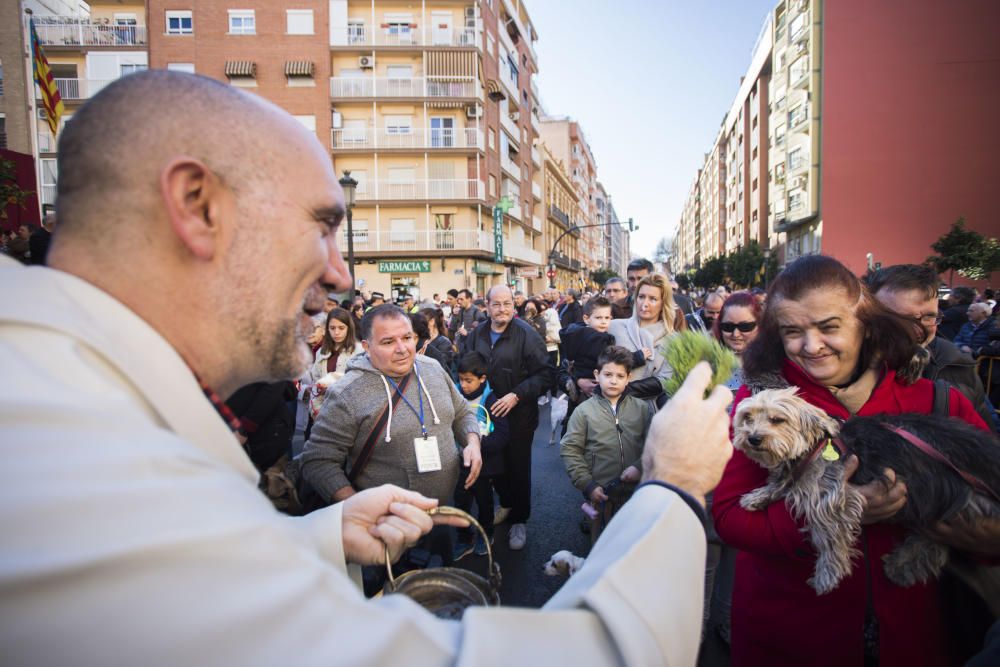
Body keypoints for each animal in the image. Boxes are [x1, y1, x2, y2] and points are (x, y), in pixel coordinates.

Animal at [728, 386, 1000, 596]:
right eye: (747, 418)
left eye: (777, 420)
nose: (753, 438)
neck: (814, 445)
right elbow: (782, 483)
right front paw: (759, 496)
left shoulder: (832, 498)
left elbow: (828, 537)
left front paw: (828, 574)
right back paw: (900, 565)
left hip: (962, 500)